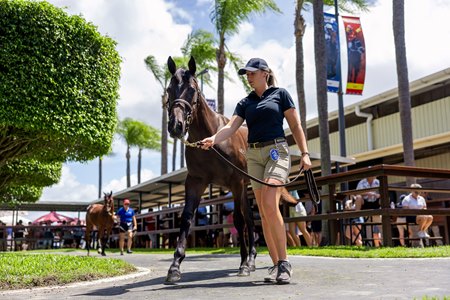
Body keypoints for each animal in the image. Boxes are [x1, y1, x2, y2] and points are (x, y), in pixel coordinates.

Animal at [166, 56, 256, 284]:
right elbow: (186, 218)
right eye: (169, 89)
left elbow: (239, 221)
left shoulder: (235, 182)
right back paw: (252, 259)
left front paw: (242, 264)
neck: (211, 138)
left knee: (251, 219)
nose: (176, 126)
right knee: (251, 218)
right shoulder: (196, 182)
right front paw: (175, 267)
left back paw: (250, 262)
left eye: (192, 89)